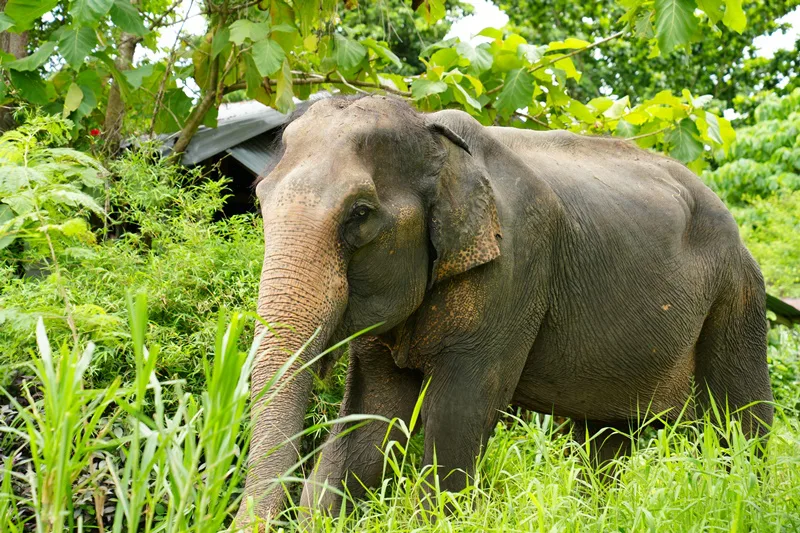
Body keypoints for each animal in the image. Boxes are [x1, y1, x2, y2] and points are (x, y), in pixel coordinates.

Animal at [235, 95, 773, 527]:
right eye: (259, 198)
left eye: (361, 213)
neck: (433, 134)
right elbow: (369, 422)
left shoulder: (513, 272)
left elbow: (460, 414)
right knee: (605, 438)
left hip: (738, 296)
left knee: (740, 426)